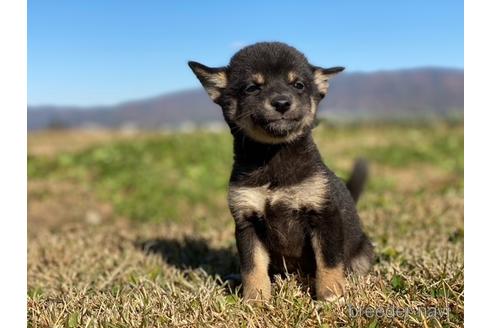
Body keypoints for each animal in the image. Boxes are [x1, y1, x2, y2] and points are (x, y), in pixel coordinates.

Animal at [188, 42, 372, 302]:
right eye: (252, 87)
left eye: (298, 85)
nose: (282, 102)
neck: (273, 157)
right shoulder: (246, 221)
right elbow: (252, 266)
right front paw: (255, 298)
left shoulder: (324, 215)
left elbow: (328, 261)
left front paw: (330, 294)